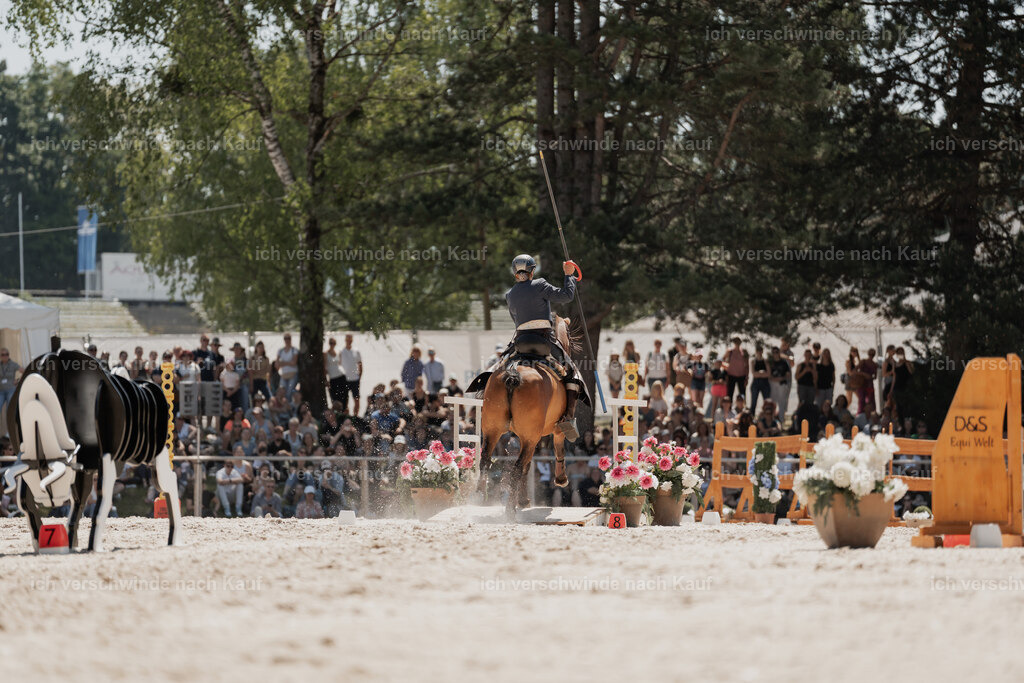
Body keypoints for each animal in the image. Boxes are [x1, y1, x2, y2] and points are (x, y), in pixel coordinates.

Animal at [479, 315, 577, 518]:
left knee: (485, 460)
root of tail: (513, 373)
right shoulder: (554, 430)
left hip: (493, 431)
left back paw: (481, 497)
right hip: (531, 437)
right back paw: (510, 510)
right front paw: (561, 479)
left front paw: (522, 500)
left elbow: (528, 465)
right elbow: (558, 449)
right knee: (518, 467)